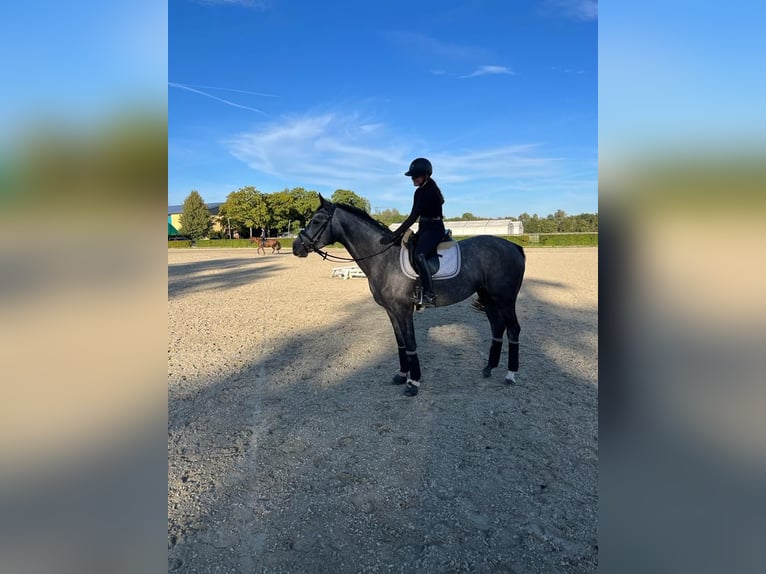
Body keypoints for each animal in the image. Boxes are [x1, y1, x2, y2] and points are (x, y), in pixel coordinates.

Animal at [294, 196, 528, 398]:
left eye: (317, 220)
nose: (297, 247)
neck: (384, 258)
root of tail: (514, 246)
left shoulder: (404, 310)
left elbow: (411, 343)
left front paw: (413, 383)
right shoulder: (391, 311)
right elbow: (401, 343)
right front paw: (401, 375)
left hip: (505, 300)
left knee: (513, 329)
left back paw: (510, 375)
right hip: (489, 298)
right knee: (497, 327)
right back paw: (489, 368)